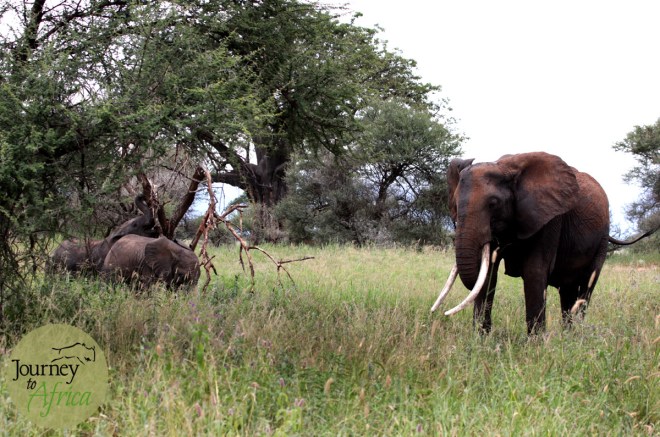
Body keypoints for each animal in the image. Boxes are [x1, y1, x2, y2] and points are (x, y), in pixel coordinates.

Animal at [431, 151, 652, 334]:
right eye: (455, 204)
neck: (506, 168)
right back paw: (567, 337)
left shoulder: (549, 219)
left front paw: (535, 346)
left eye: (493, 204)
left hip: (602, 239)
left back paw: (576, 337)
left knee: (586, 287)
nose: (440, 313)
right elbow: (488, 275)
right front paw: (481, 341)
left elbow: (534, 272)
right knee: (568, 293)